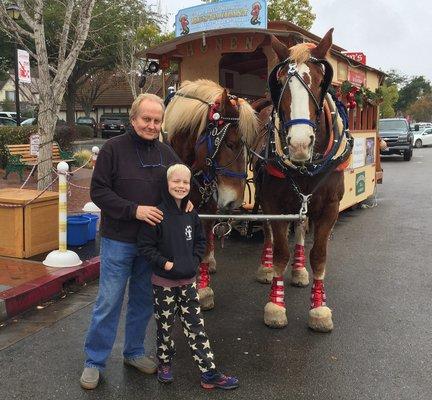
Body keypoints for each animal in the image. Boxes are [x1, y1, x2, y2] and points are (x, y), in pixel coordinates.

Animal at [251, 30, 352, 332]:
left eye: (320, 83)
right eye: (281, 84)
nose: (298, 144)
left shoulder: (330, 207)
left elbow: (318, 255)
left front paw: (318, 308)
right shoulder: (274, 204)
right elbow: (280, 251)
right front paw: (275, 304)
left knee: (301, 227)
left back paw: (298, 270)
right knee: (269, 234)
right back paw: (267, 266)